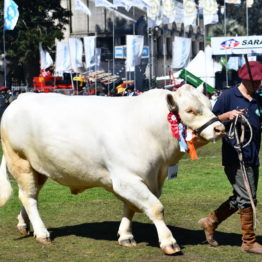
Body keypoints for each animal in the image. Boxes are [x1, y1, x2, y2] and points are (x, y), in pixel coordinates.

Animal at [0, 85, 224, 255]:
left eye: (210, 105)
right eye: (190, 110)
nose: (220, 128)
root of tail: (21, 98)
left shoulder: (149, 178)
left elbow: (130, 208)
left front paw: (125, 236)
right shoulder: (126, 179)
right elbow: (155, 208)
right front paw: (169, 242)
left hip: (39, 167)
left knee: (29, 195)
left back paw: (23, 224)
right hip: (20, 161)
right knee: (28, 197)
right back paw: (42, 233)